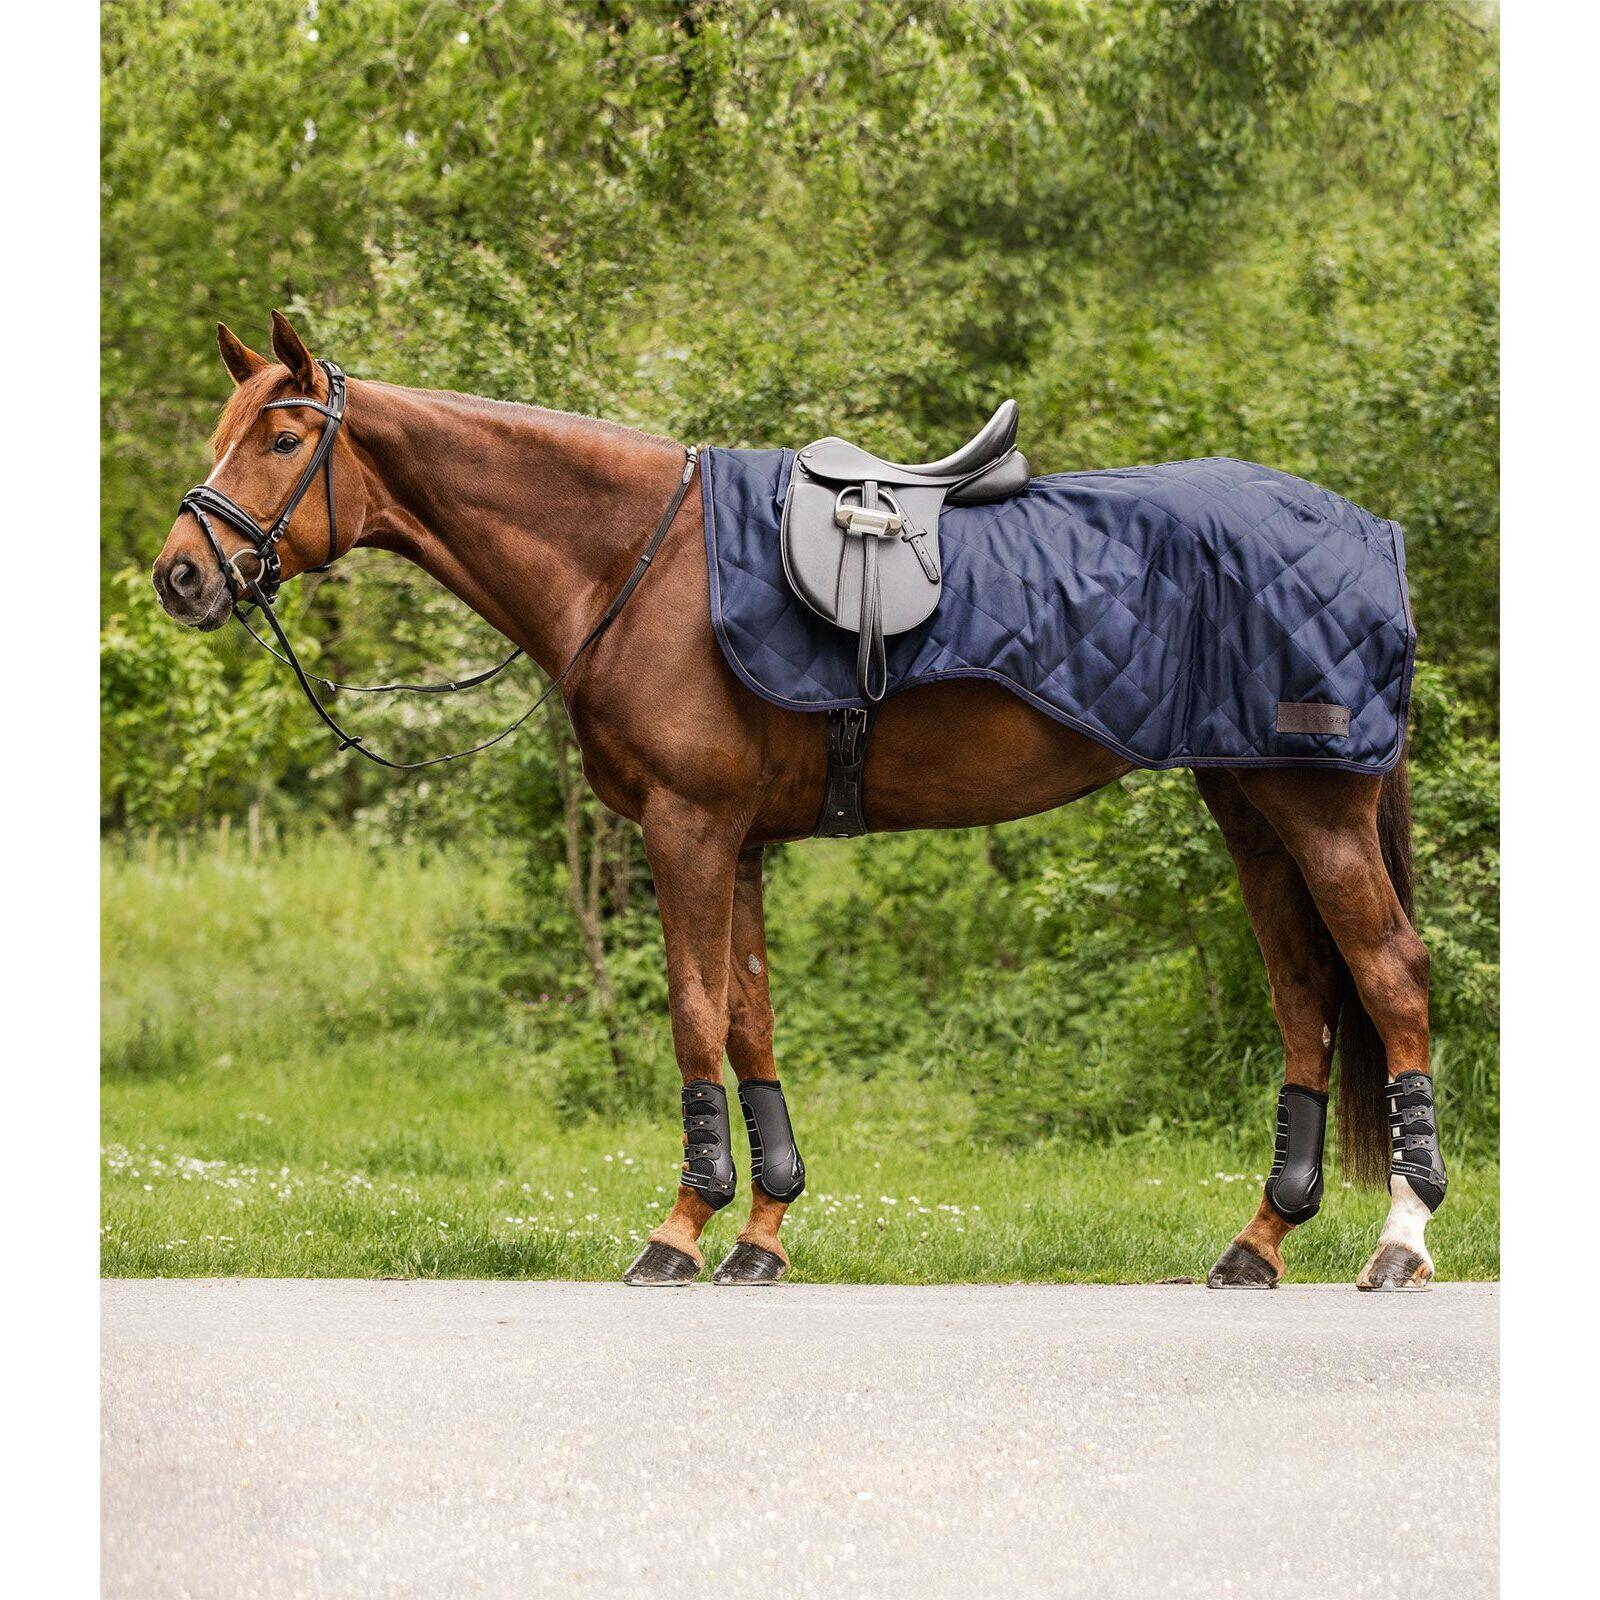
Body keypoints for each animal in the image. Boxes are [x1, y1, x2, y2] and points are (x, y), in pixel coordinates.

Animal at [151, 313, 1445, 1291]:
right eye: (226, 431)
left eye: (281, 437)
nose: (181, 575)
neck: (638, 561)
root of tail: (1370, 531)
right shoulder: (739, 841)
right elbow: (750, 1020)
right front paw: (762, 1234)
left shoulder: (686, 828)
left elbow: (691, 1013)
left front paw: (679, 1231)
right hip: (1251, 809)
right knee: (1304, 997)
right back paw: (1258, 1241)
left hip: (1316, 809)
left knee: (1387, 976)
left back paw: (1399, 1240)